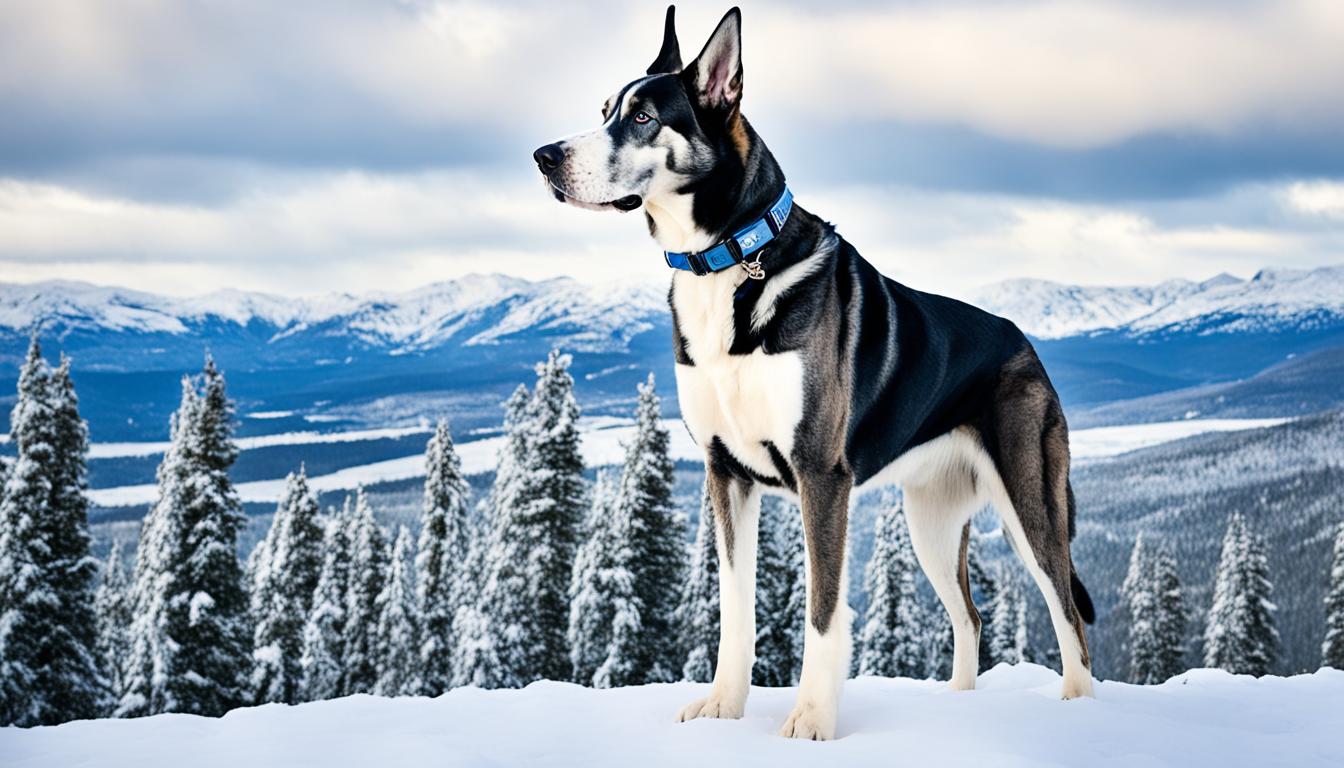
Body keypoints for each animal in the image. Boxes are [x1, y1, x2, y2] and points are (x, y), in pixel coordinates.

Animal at [529, 4, 1096, 737]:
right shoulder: (726, 472)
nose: (545, 157)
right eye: (603, 111)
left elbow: (823, 612)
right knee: (970, 617)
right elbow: (734, 609)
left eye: (644, 117)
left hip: (1030, 501)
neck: (728, 258)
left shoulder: (821, 475)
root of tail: (1024, 342)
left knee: (1068, 614)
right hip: (930, 521)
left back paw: (1078, 710)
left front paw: (812, 720)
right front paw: (723, 707)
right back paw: (956, 706)